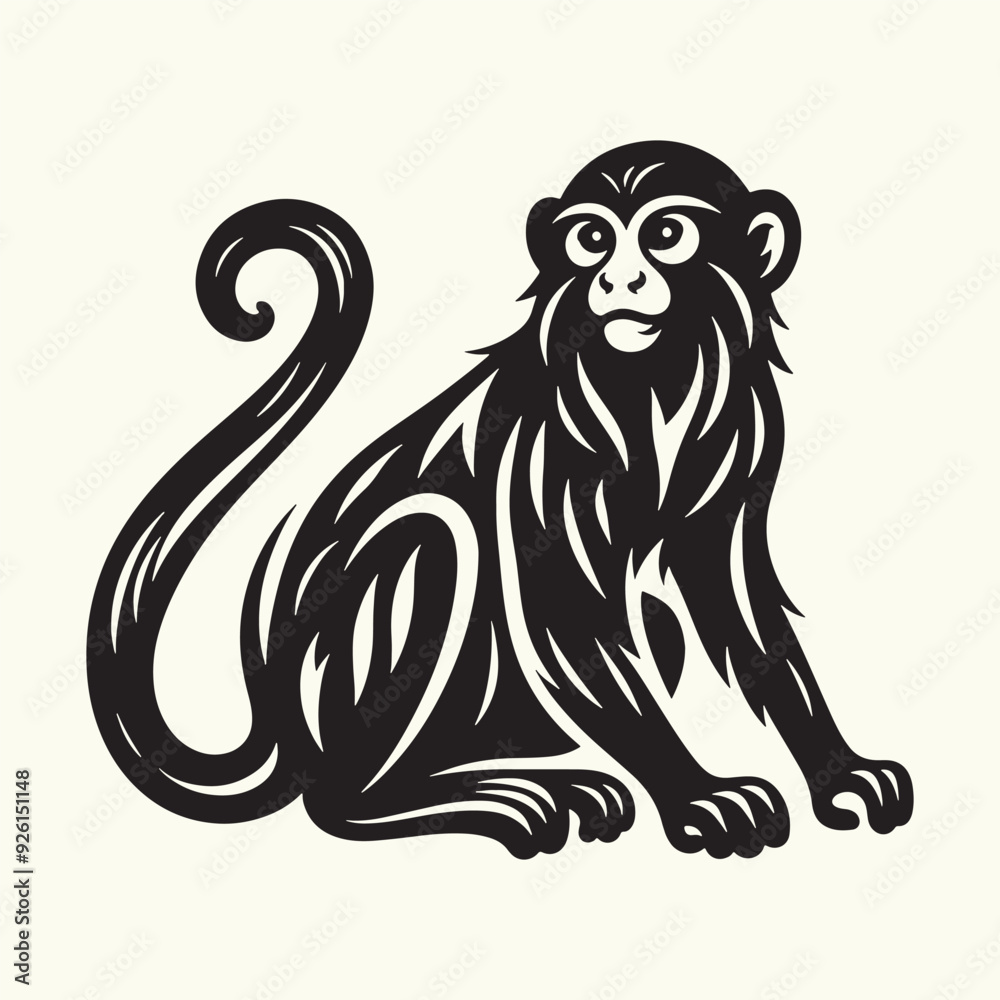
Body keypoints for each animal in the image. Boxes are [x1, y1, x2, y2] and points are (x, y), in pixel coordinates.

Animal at [87, 140, 913, 860]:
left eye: (666, 234)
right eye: (592, 239)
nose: (618, 281)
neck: (654, 381)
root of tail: (283, 720)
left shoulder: (742, 444)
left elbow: (739, 604)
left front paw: (838, 771)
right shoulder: (542, 454)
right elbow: (560, 610)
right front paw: (697, 794)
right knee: (434, 539)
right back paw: (479, 800)